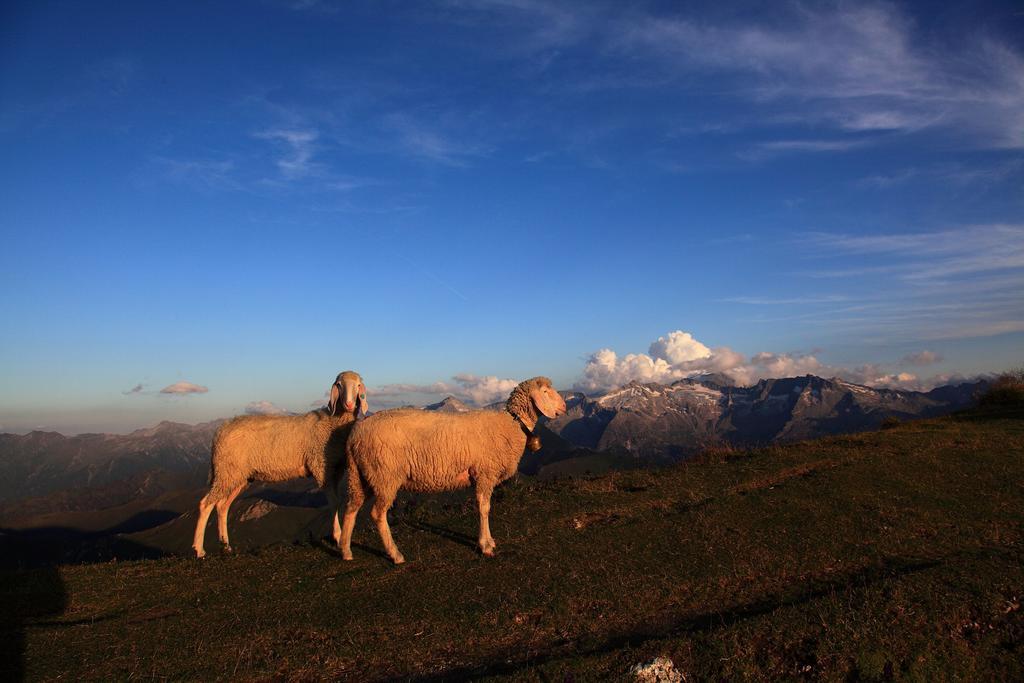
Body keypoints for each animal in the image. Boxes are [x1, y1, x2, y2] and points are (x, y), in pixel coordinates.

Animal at [190, 370, 370, 557]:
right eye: (339, 385)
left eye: (358, 385)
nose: (349, 404)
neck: (332, 421)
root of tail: (220, 431)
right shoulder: (321, 467)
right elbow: (333, 502)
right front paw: (338, 537)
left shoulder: (335, 470)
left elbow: (337, 501)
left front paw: (338, 536)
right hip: (226, 470)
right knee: (205, 504)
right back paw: (199, 550)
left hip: (237, 475)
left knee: (222, 505)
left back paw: (225, 545)